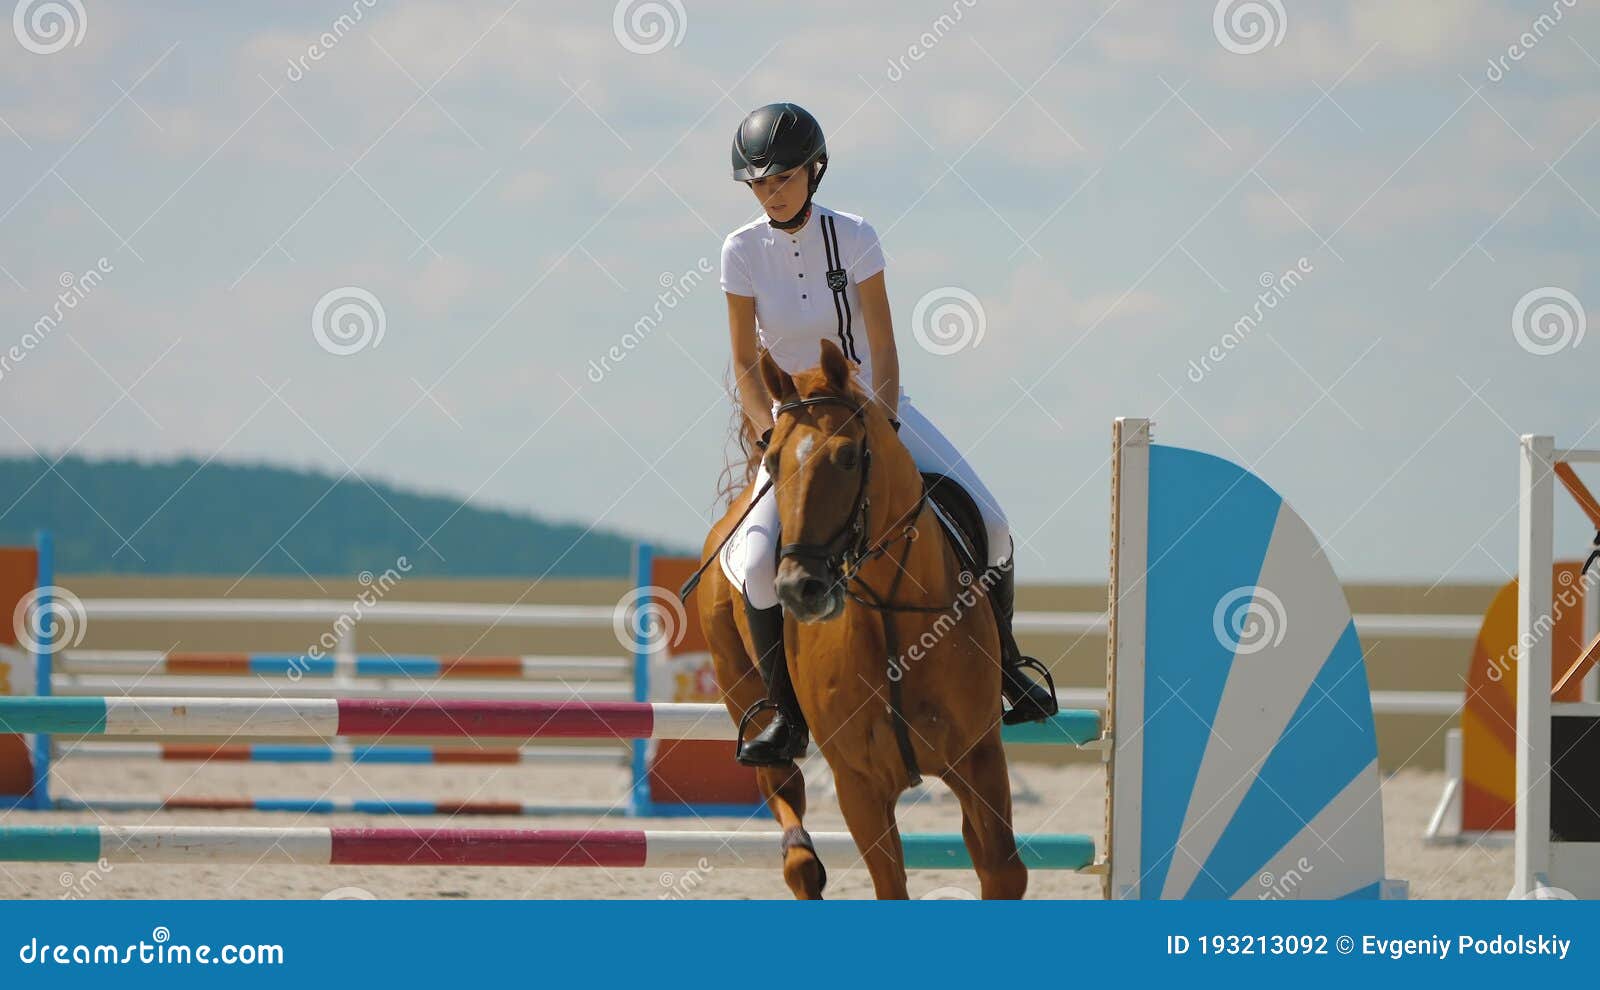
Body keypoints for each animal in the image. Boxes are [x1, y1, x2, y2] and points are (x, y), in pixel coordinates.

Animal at [697, 339, 1024, 895]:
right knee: (788, 814)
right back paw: (799, 853)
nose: (798, 589)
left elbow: (1002, 871)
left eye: (848, 456)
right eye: (773, 461)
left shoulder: (978, 758)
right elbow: (890, 885)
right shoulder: (859, 786)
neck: (891, 616)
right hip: (744, 692)